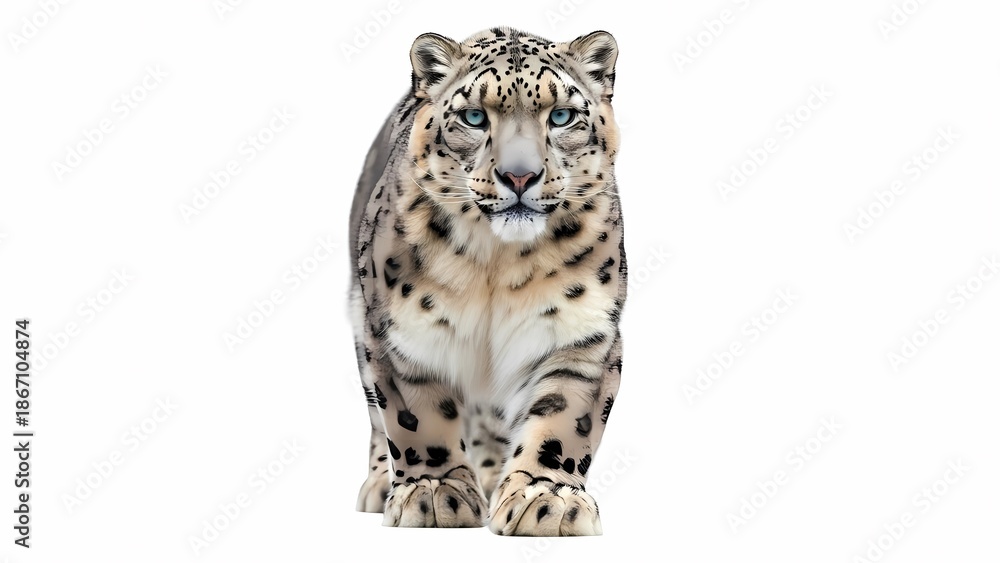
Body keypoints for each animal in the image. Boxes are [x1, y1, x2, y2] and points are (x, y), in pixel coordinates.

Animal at [348, 27, 625, 536]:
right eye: (474, 117)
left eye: (561, 115)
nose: (519, 175)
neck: (498, 263)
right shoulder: (403, 333)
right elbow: (416, 416)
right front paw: (434, 491)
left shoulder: (582, 333)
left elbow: (563, 419)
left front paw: (547, 498)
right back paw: (382, 484)